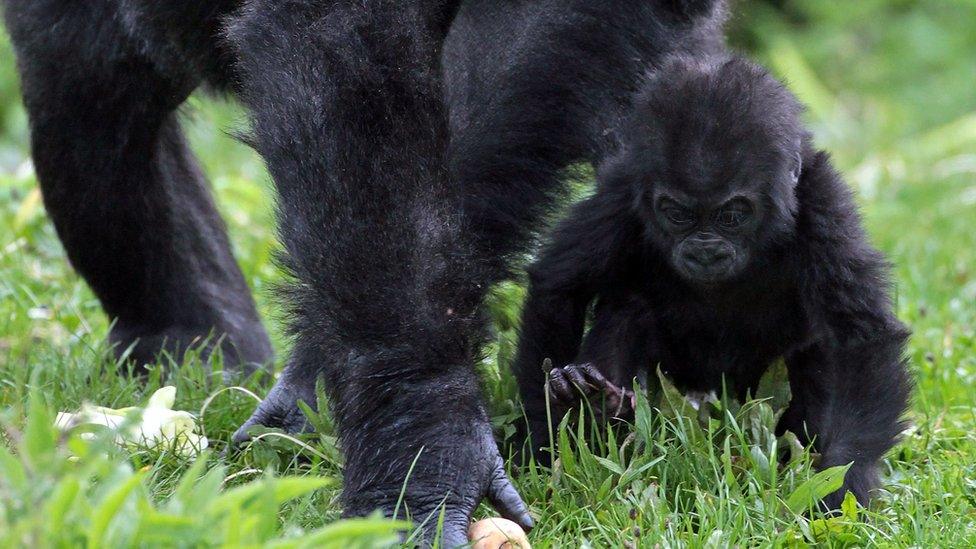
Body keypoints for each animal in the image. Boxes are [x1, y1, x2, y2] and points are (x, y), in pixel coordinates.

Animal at [516, 53, 912, 508]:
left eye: (732, 215)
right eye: (678, 214)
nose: (705, 249)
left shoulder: (822, 201)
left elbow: (862, 336)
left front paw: (845, 480)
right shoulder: (622, 190)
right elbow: (559, 287)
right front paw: (542, 439)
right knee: (628, 310)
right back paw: (597, 409)